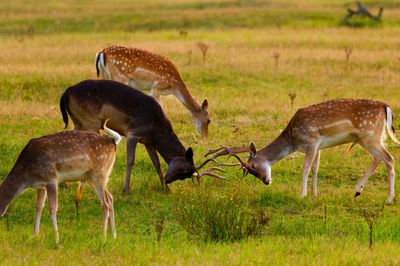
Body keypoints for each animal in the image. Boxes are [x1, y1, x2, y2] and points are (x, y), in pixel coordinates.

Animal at [59, 79, 222, 197]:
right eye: (186, 168)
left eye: (185, 176)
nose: (167, 179)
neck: (156, 129)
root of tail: (66, 92)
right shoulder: (133, 133)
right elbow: (130, 160)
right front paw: (126, 190)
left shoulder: (148, 141)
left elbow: (156, 162)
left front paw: (166, 189)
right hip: (90, 122)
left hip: (79, 122)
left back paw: (64, 185)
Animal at [208, 98, 398, 203]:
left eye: (253, 166)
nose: (267, 182)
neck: (293, 139)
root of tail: (386, 107)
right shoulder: (319, 146)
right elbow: (315, 169)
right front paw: (314, 195)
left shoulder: (311, 142)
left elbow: (305, 169)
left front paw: (302, 195)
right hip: (370, 138)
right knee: (379, 158)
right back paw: (358, 190)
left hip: (369, 135)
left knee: (389, 159)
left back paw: (389, 199)